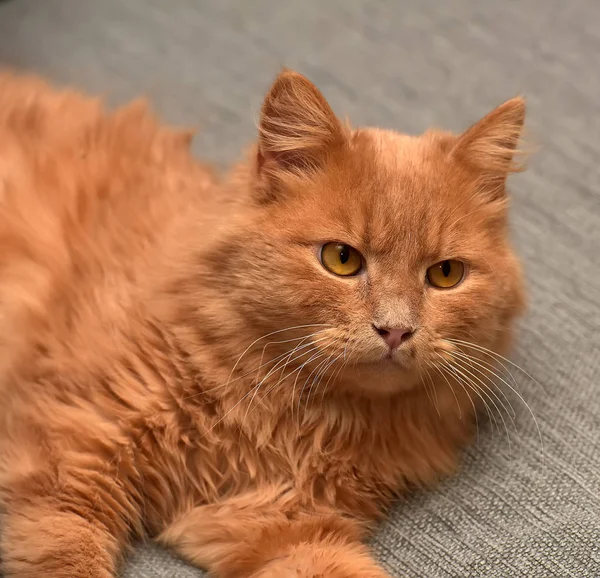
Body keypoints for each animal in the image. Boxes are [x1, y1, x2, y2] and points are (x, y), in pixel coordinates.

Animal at [0, 70, 524, 572]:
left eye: (445, 274)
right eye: (341, 259)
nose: (395, 330)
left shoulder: (282, 523)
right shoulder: (69, 460)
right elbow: (71, 560)